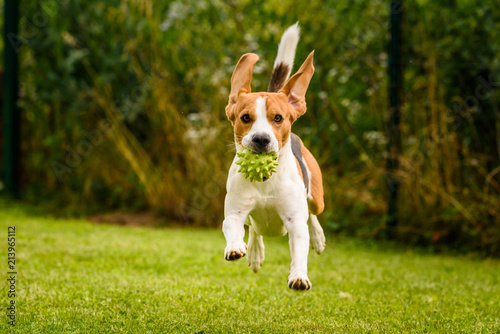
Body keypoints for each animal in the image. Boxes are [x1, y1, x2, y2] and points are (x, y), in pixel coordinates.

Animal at [222, 23, 324, 290]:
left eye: (278, 118)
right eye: (245, 117)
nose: (261, 139)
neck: (265, 180)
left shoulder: (295, 221)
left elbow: (299, 246)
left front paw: (299, 276)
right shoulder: (235, 212)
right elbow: (233, 226)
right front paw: (236, 247)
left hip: (316, 196)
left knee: (313, 213)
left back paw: (318, 237)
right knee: (255, 229)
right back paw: (255, 252)